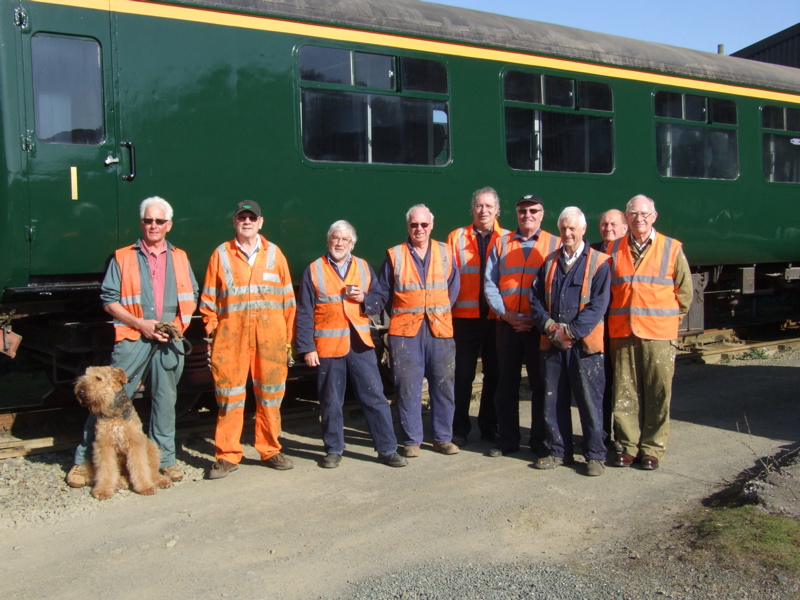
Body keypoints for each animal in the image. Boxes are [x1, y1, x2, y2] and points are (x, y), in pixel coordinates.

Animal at [74, 368, 170, 500]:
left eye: (99, 378)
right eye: (85, 375)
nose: (80, 391)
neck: (114, 413)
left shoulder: (135, 442)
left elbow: (140, 466)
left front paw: (145, 487)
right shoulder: (104, 445)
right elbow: (106, 469)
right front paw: (103, 490)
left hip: (151, 446)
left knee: (151, 471)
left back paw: (161, 480)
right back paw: (120, 482)